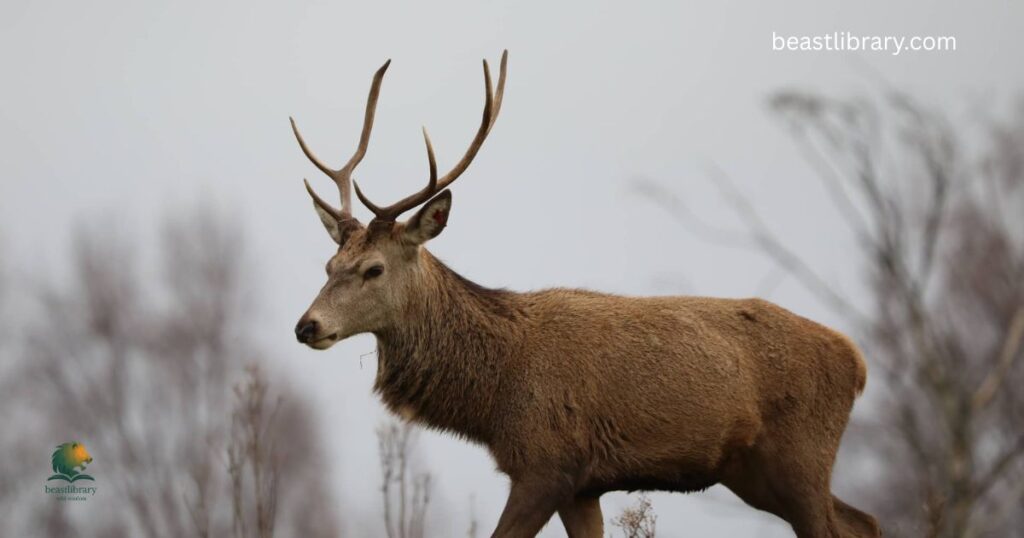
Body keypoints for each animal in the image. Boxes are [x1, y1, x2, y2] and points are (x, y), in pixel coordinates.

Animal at [288, 51, 881, 538]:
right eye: (329, 264)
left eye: (373, 269)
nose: (306, 325)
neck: (494, 396)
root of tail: (856, 361)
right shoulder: (583, 485)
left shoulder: (548, 463)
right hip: (754, 472)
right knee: (863, 522)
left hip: (801, 455)